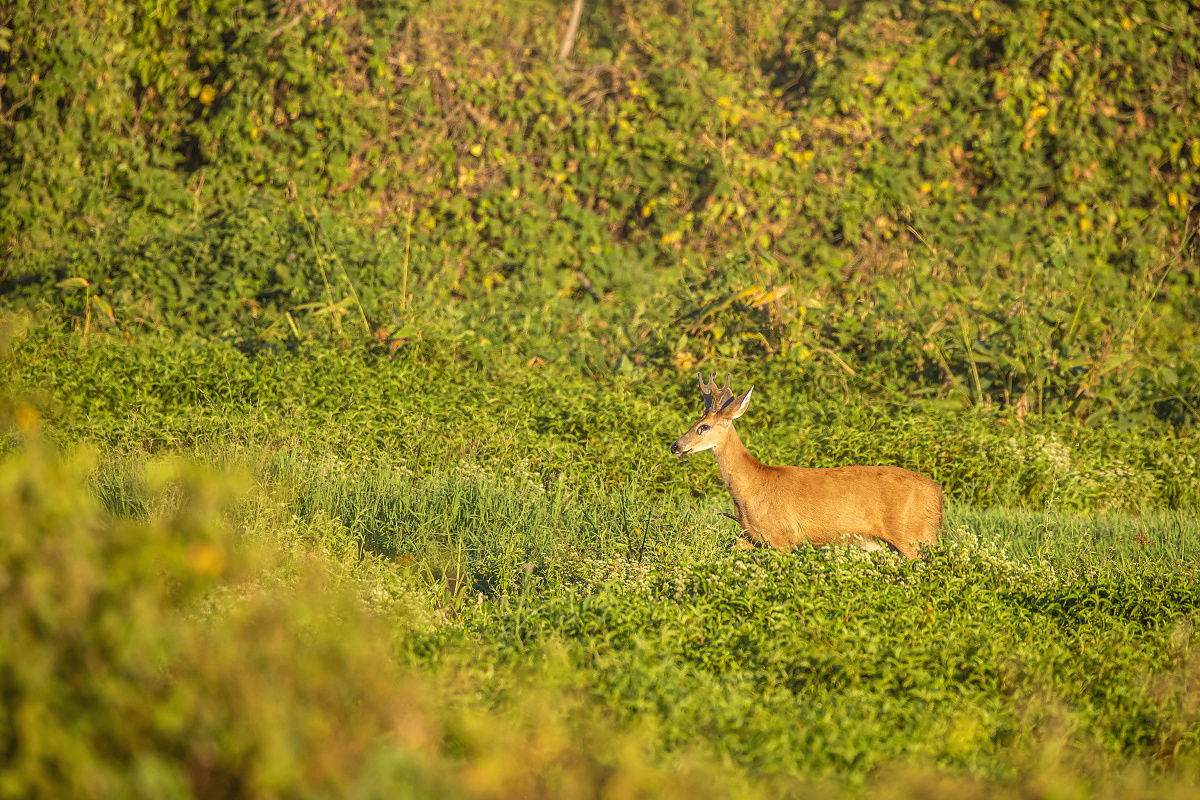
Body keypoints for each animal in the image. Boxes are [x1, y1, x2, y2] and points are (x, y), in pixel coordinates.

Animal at [672, 374, 940, 556]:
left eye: (703, 426)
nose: (675, 446)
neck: (753, 486)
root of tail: (938, 493)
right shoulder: (753, 536)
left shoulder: (782, 537)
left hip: (915, 536)